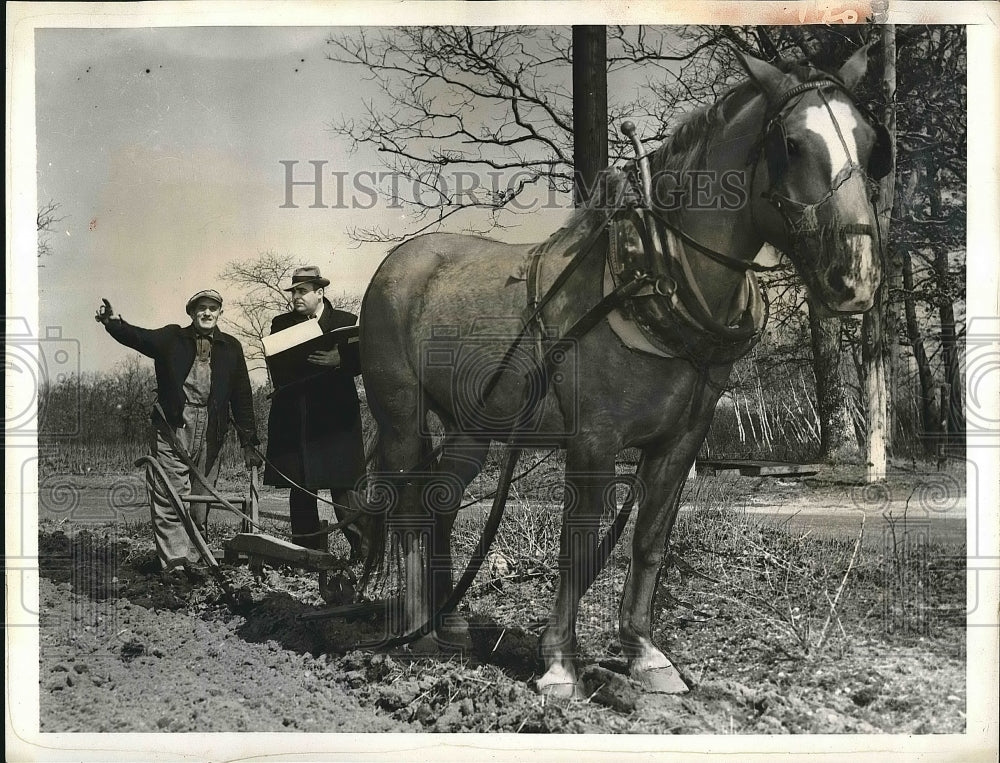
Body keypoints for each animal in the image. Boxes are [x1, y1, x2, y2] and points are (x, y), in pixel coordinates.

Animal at [356, 47, 888, 700]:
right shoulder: (593, 440)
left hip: (471, 426)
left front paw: (644, 655)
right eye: (790, 144)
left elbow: (649, 540)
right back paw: (413, 634)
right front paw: (559, 665)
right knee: (408, 506)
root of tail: (400, 261)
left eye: (870, 143)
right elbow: (580, 544)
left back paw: (447, 622)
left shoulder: (680, 441)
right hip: (401, 417)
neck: (652, 279)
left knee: (441, 502)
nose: (856, 278)